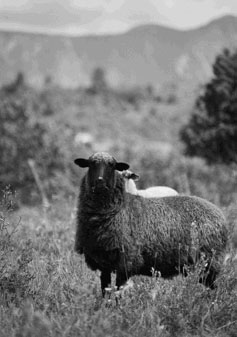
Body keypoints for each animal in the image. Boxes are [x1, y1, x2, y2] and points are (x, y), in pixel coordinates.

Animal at [73, 152, 228, 294]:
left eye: (112, 165)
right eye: (91, 164)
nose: (100, 181)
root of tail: (218, 213)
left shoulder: (126, 261)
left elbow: (118, 292)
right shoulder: (102, 263)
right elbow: (105, 292)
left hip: (210, 262)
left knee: (213, 289)